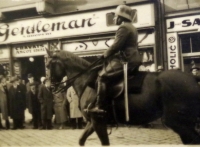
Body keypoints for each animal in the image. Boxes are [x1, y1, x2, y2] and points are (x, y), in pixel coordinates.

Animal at [46, 50, 200, 145]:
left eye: (48, 65)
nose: (49, 87)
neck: (87, 82)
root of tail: (193, 78)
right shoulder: (92, 122)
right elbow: (81, 140)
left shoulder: (98, 122)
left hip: (177, 122)